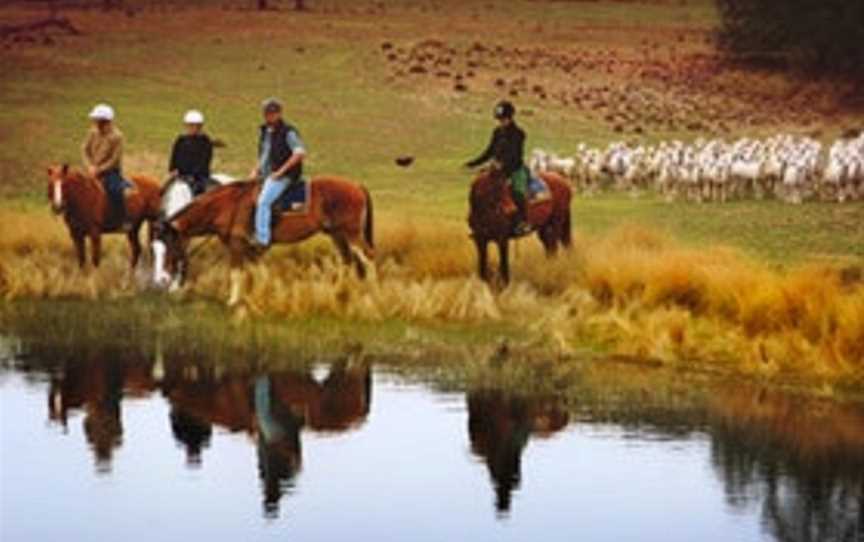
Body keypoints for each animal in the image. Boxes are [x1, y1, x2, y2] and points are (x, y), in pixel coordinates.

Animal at [154, 177, 374, 306]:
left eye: (169, 245)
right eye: (154, 249)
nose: (162, 281)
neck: (226, 205)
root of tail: (356, 186)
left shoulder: (237, 245)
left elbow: (237, 273)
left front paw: (233, 301)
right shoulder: (251, 249)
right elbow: (257, 272)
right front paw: (259, 296)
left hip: (352, 234)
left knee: (367, 258)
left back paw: (373, 293)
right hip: (337, 234)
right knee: (346, 260)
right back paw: (337, 293)